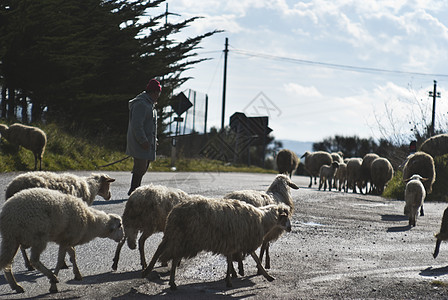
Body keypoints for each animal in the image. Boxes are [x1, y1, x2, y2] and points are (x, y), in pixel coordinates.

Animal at [142, 198, 292, 290]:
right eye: (285, 218)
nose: (290, 229)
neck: (262, 219)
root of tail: (174, 211)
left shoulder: (233, 242)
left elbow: (230, 260)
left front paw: (229, 279)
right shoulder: (246, 241)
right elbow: (257, 260)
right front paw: (268, 276)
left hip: (175, 235)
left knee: (163, 250)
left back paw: (152, 273)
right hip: (183, 238)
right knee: (170, 256)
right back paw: (166, 280)